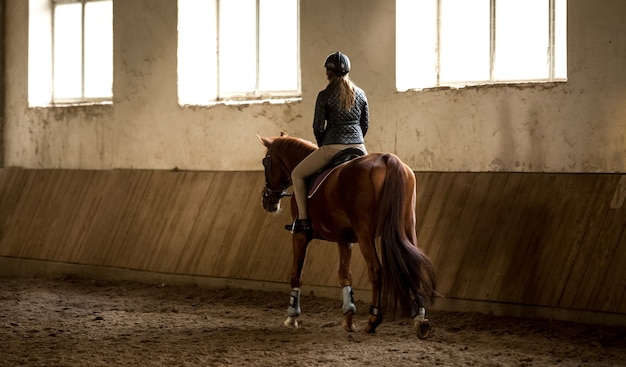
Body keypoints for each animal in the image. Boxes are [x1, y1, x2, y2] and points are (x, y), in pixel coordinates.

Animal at [256, 132, 436, 340]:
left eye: (265, 161)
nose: (268, 202)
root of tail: (388, 159)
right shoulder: (344, 239)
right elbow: (344, 275)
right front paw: (348, 317)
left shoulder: (300, 236)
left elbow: (296, 274)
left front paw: (292, 317)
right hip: (406, 227)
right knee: (412, 265)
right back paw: (420, 320)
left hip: (365, 233)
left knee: (375, 269)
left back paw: (373, 320)